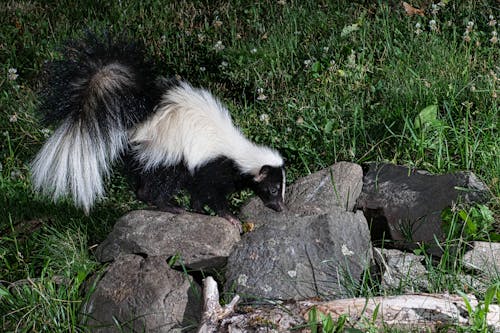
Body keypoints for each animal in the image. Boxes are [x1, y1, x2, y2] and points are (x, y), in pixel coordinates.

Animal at [31, 34, 286, 226]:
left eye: (281, 188)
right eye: (273, 189)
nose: (281, 207)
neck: (239, 154)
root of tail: (140, 120)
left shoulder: (201, 170)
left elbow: (198, 194)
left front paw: (199, 211)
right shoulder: (210, 166)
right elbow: (211, 194)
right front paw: (228, 216)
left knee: (142, 184)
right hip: (166, 155)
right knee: (156, 185)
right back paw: (170, 207)